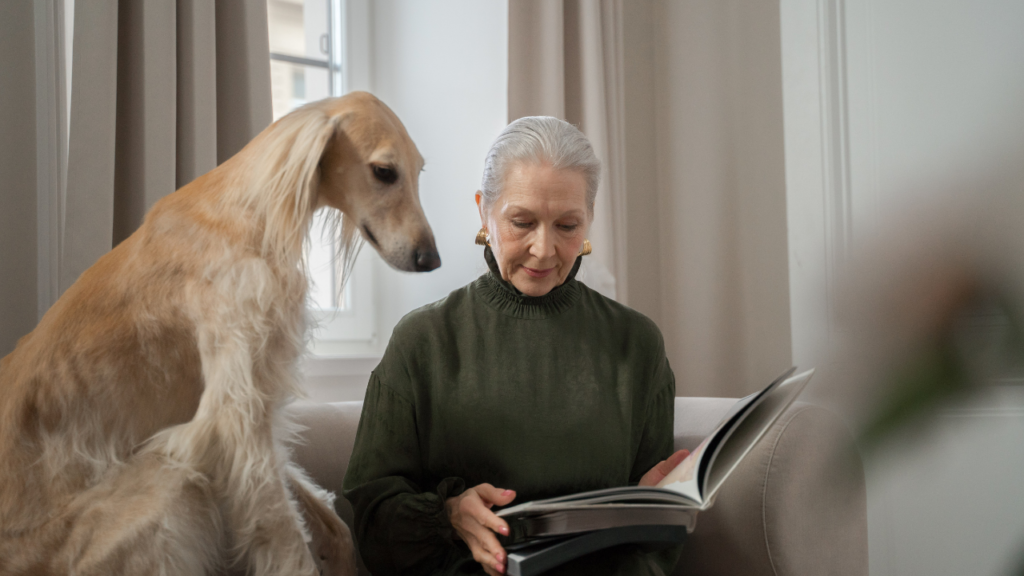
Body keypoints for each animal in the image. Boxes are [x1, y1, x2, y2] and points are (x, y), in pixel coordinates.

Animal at [0, 91, 436, 569]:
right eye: (384, 172)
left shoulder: (252, 414)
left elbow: (333, 527)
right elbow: (285, 538)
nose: (431, 259)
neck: (247, 210)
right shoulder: (232, 419)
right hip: (164, 484)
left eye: (418, 171)